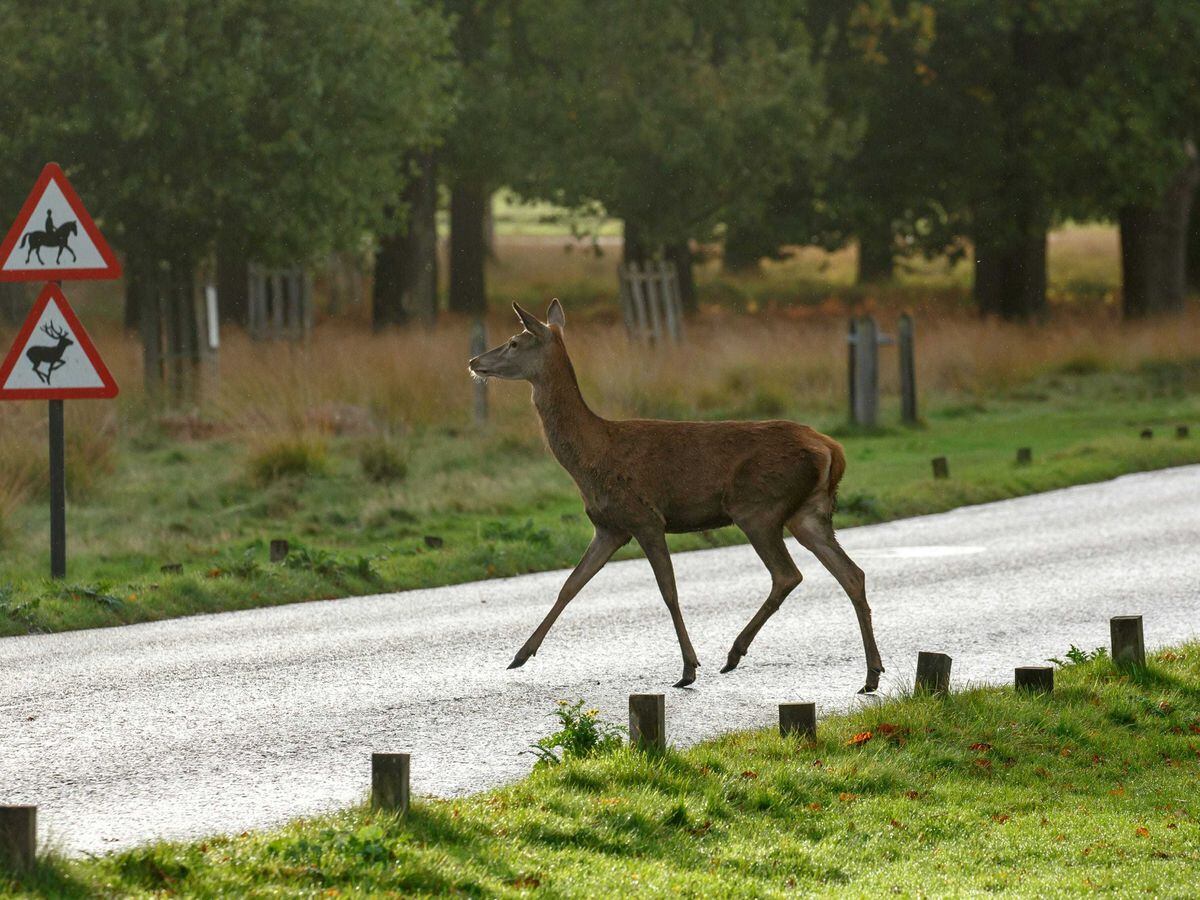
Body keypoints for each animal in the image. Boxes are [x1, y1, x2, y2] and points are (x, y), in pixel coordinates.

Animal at [472, 300, 888, 696]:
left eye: (514, 341)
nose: (474, 361)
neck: (591, 457)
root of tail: (832, 449)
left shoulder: (645, 517)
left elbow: (668, 591)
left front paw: (689, 668)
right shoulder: (609, 526)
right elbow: (570, 585)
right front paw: (520, 655)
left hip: (759, 507)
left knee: (788, 574)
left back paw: (734, 653)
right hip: (810, 513)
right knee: (852, 573)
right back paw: (871, 675)